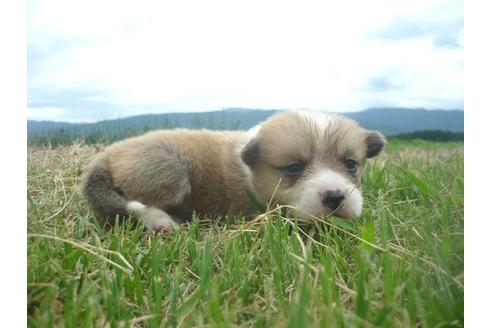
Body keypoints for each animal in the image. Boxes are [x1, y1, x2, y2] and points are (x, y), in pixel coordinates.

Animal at [80, 110, 384, 231]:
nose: (335, 196)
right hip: (170, 168)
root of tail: (105, 156)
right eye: (294, 167)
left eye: (351, 164)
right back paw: (162, 221)